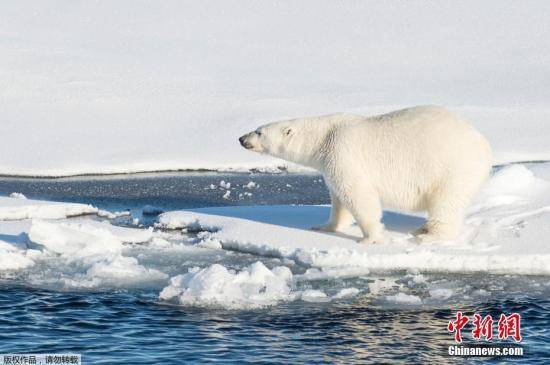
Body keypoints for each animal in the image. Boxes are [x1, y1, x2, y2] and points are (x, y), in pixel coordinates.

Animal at [239, 105, 494, 242]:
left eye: (259, 132)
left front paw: (370, 238)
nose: (241, 138)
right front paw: (324, 227)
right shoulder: (330, 163)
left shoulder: (343, 152)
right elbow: (338, 200)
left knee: (446, 202)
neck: (323, 137)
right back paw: (421, 228)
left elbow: (359, 195)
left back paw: (429, 235)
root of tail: (484, 143)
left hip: (453, 168)